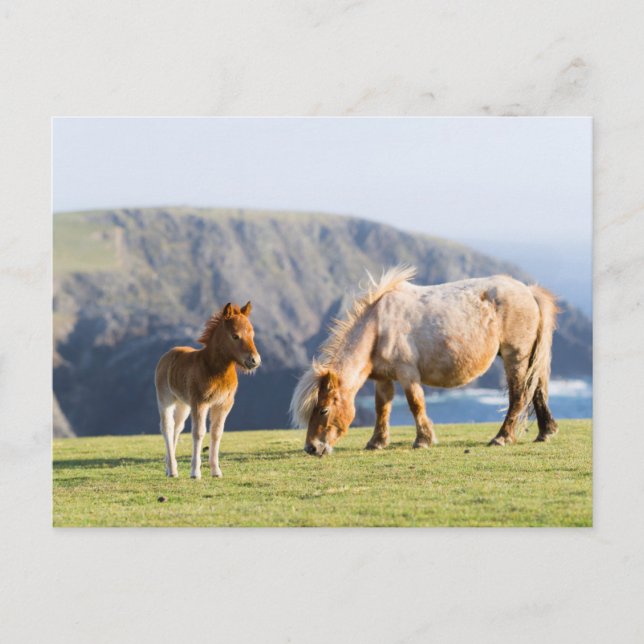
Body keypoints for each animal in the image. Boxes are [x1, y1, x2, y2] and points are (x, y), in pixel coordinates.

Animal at [155, 302, 261, 478]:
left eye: (252, 334)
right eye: (235, 336)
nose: (255, 361)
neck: (213, 369)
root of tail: (167, 355)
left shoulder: (223, 404)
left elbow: (216, 432)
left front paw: (216, 470)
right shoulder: (200, 403)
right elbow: (198, 433)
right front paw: (195, 472)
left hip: (184, 404)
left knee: (177, 427)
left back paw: (170, 467)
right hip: (165, 399)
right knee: (167, 427)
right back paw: (172, 470)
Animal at [290, 266, 559, 457]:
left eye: (323, 409)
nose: (311, 448)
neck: (379, 327)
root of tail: (529, 292)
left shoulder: (408, 374)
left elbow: (415, 404)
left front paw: (423, 440)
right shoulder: (383, 378)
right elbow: (382, 407)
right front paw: (377, 442)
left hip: (516, 356)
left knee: (519, 395)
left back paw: (502, 437)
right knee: (536, 389)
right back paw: (545, 432)